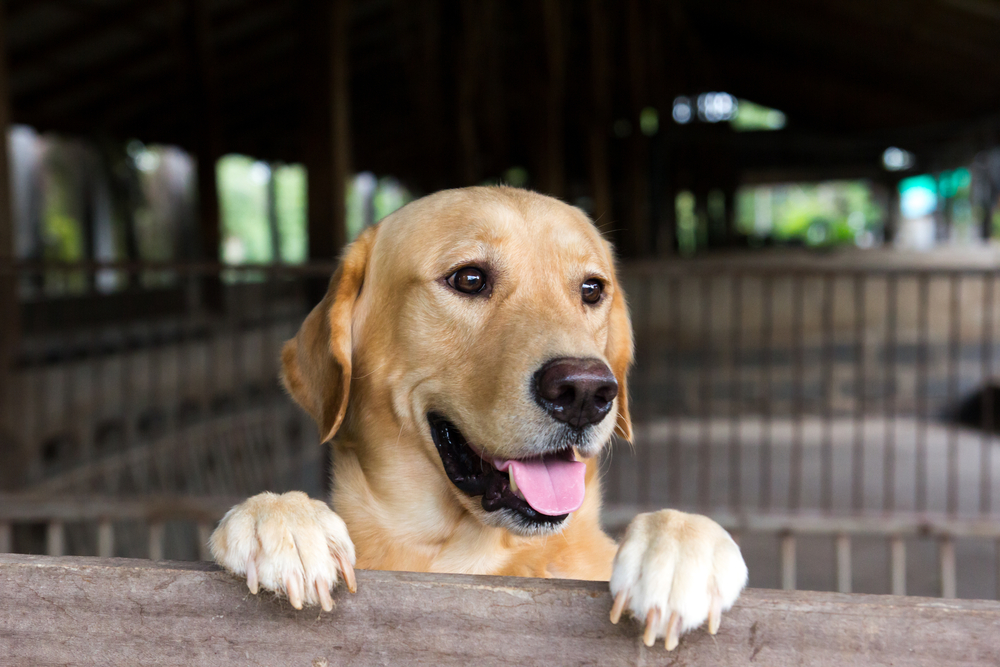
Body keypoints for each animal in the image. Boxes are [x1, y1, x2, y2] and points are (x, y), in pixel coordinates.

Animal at [209, 185, 744, 648]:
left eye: (592, 289)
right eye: (469, 278)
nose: (585, 392)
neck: (473, 555)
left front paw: (678, 552)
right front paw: (283, 519)